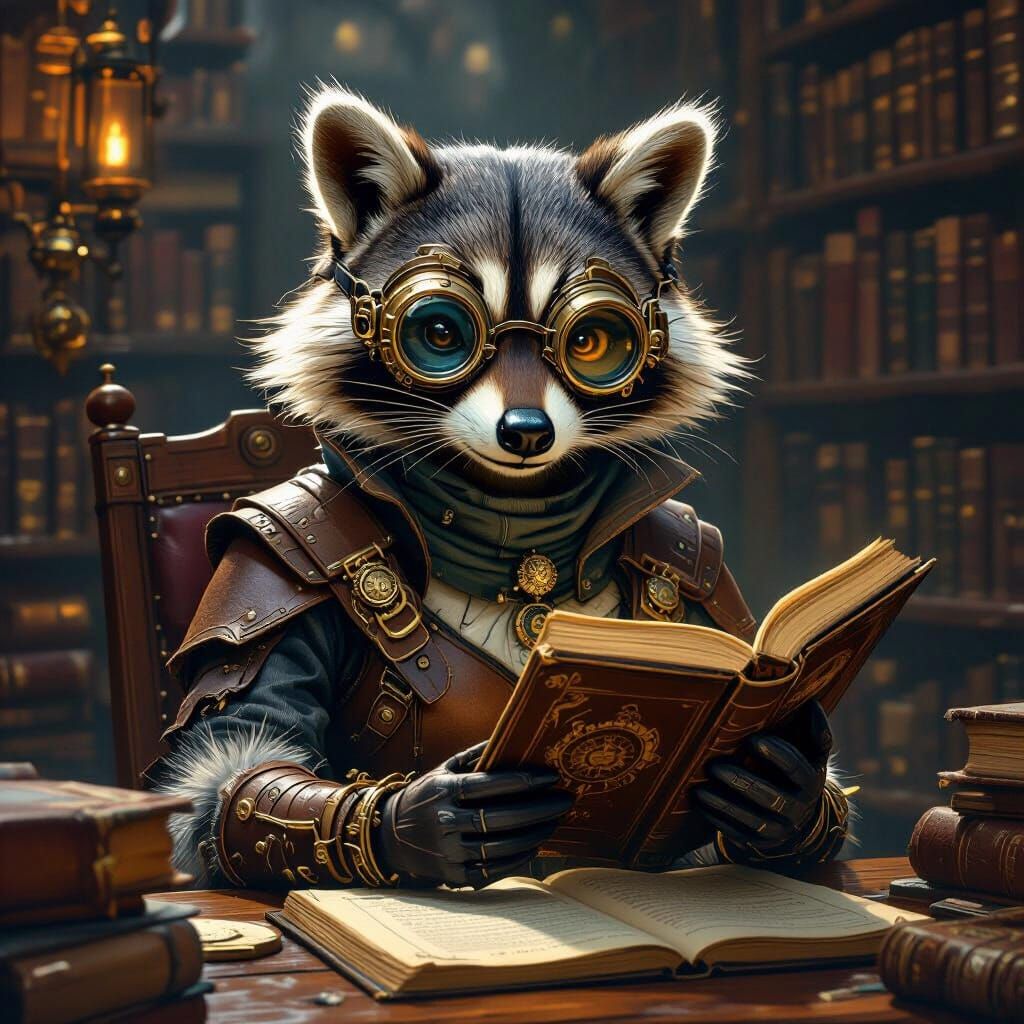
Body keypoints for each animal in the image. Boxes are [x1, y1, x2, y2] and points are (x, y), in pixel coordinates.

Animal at [156, 87, 848, 889]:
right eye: (440, 333)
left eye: (591, 342)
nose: (526, 432)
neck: (517, 534)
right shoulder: (283, 552)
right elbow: (238, 769)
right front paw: (419, 821)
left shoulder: (691, 552)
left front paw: (783, 789)